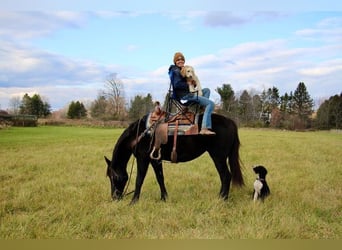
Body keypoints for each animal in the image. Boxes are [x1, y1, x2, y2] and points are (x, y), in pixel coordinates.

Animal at [104, 113, 243, 203]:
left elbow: (139, 179)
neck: (139, 135)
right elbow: (160, 178)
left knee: (225, 176)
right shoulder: (155, 160)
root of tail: (230, 122)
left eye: (113, 176)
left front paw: (133, 201)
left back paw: (222, 199)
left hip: (218, 157)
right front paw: (164, 198)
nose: (115, 197)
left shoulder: (143, 158)